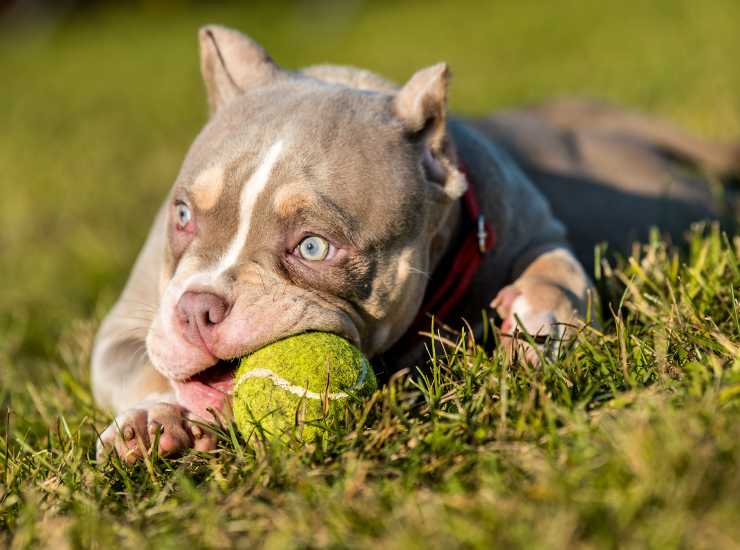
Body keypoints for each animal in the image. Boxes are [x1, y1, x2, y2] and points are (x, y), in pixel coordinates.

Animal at [94, 24, 740, 462]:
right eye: (183, 215)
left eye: (313, 248)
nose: (198, 310)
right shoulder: (123, 330)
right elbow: (143, 369)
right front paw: (153, 422)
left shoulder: (538, 231)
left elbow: (560, 274)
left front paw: (538, 327)